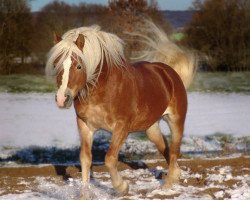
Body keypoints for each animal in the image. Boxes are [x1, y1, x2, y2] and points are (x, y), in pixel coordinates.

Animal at [46, 21, 196, 196]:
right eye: (56, 64)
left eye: (78, 66)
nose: (62, 99)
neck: (103, 90)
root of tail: (168, 72)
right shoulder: (85, 126)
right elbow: (85, 159)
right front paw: (85, 194)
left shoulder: (121, 128)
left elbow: (110, 159)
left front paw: (122, 187)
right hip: (151, 128)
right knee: (165, 148)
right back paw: (175, 176)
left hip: (176, 121)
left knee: (173, 150)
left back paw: (167, 186)